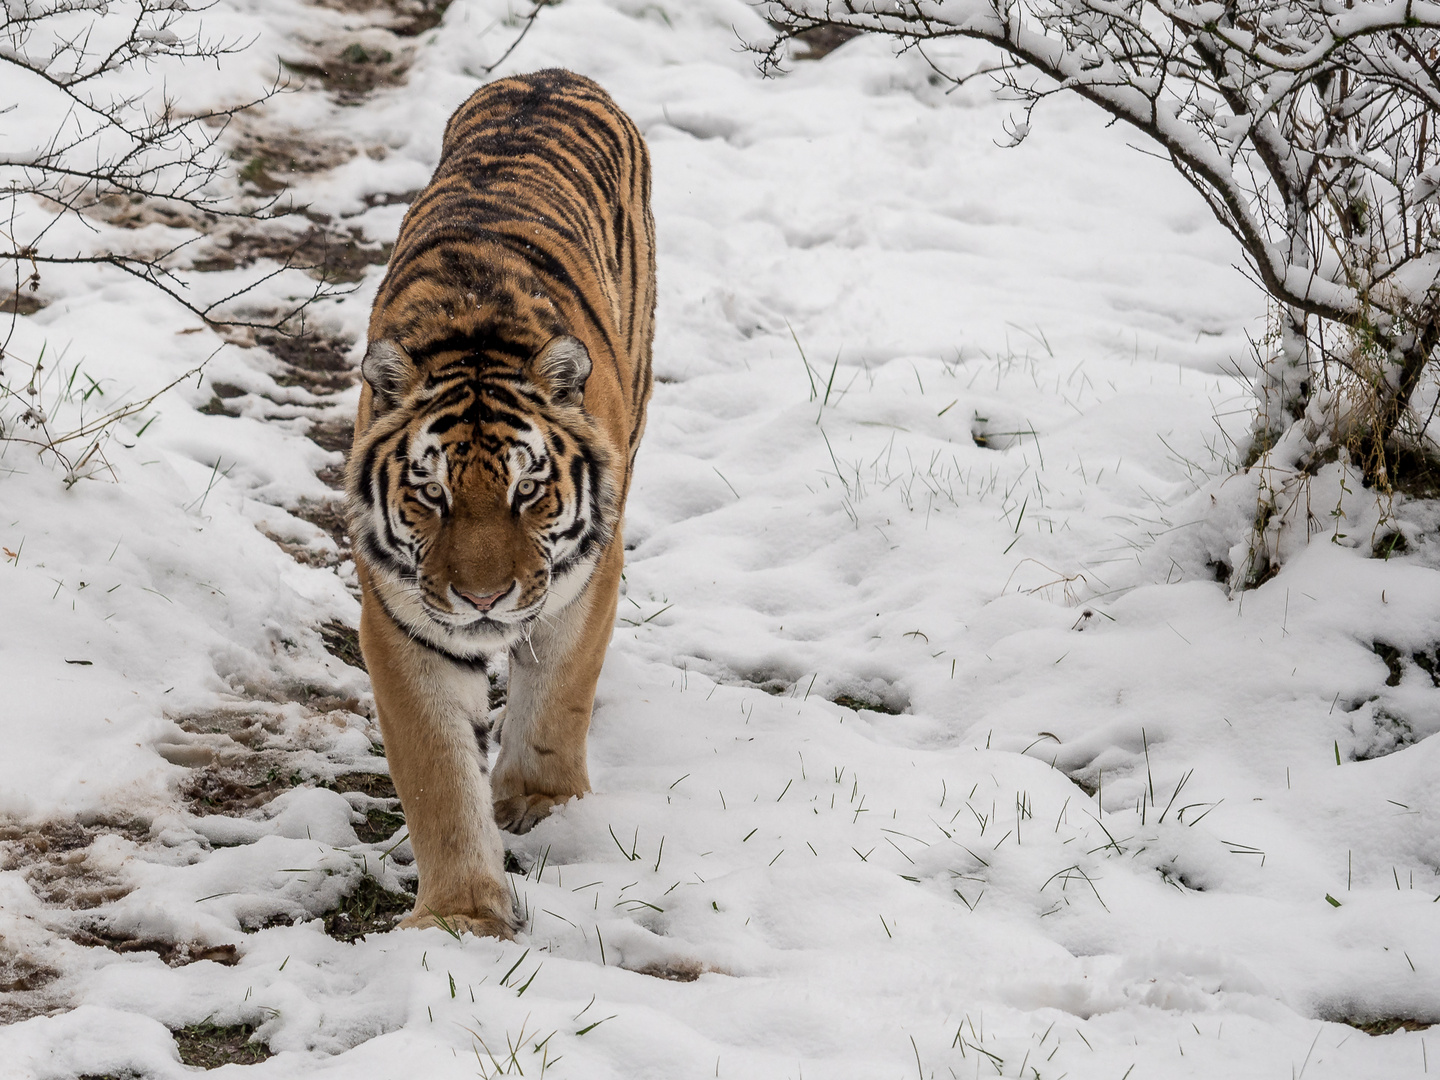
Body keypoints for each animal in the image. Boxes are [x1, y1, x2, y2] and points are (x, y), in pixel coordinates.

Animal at [345, 72, 659, 944]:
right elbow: (438, 777)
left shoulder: (587, 577)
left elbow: (557, 696)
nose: (484, 598)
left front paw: (539, 805)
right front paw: (461, 917)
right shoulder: (401, 623)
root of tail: (551, 72)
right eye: (430, 493)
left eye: (528, 490)